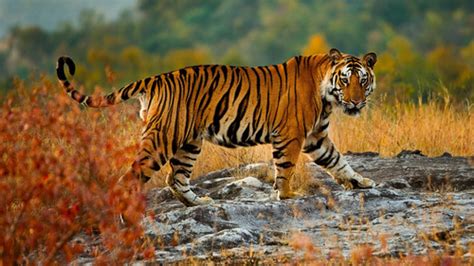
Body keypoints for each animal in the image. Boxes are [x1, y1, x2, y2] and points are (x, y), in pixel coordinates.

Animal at [56, 48, 378, 206]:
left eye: (362, 81)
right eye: (345, 80)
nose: (356, 102)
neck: (327, 95)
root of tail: (156, 78)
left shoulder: (315, 137)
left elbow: (338, 161)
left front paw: (361, 182)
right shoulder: (291, 135)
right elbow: (286, 168)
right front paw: (287, 196)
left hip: (188, 142)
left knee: (176, 178)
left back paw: (199, 203)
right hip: (162, 139)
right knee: (131, 177)